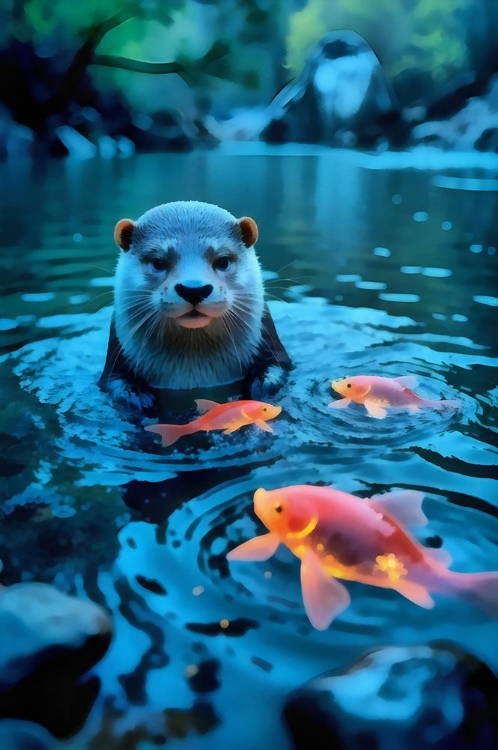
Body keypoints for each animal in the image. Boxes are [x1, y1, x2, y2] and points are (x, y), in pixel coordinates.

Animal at [99, 201, 292, 411]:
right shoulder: (116, 361)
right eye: (158, 262)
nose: (193, 289)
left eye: (222, 261)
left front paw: (259, 389)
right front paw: (138, 398)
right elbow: (114, 382)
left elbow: (277, 368)